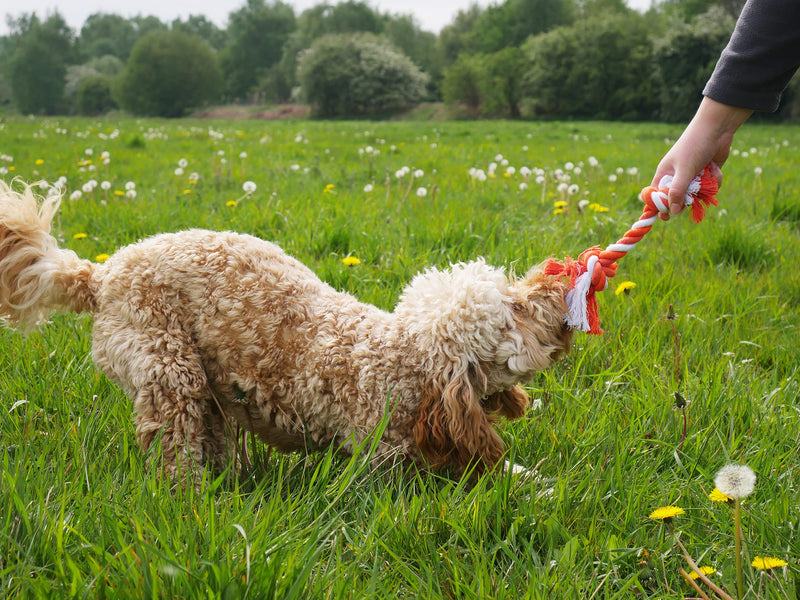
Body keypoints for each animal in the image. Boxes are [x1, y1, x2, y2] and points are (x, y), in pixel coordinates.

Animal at [0, 180, 576, 486]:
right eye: (515, 309)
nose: (559, 274)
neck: (403, 360)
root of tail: (98, 275)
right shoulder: (389, 462)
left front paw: (543, 484)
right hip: (169, 369)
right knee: (177, 450)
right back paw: (192, 499)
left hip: (209, 392)